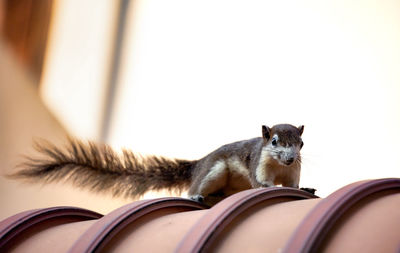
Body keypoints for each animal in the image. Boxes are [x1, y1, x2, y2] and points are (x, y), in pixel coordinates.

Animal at [10, 123, 314, 207]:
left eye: (301, 143)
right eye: (273, 141)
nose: (289, 157)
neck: (280, 166)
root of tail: (197, 165)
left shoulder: (294, 171)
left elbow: (294, 184)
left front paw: (306, 189)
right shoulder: (258, 163)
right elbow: (260, 182)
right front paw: (267, 187)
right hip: (213, 171)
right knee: (194, 188)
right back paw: (196, 195)